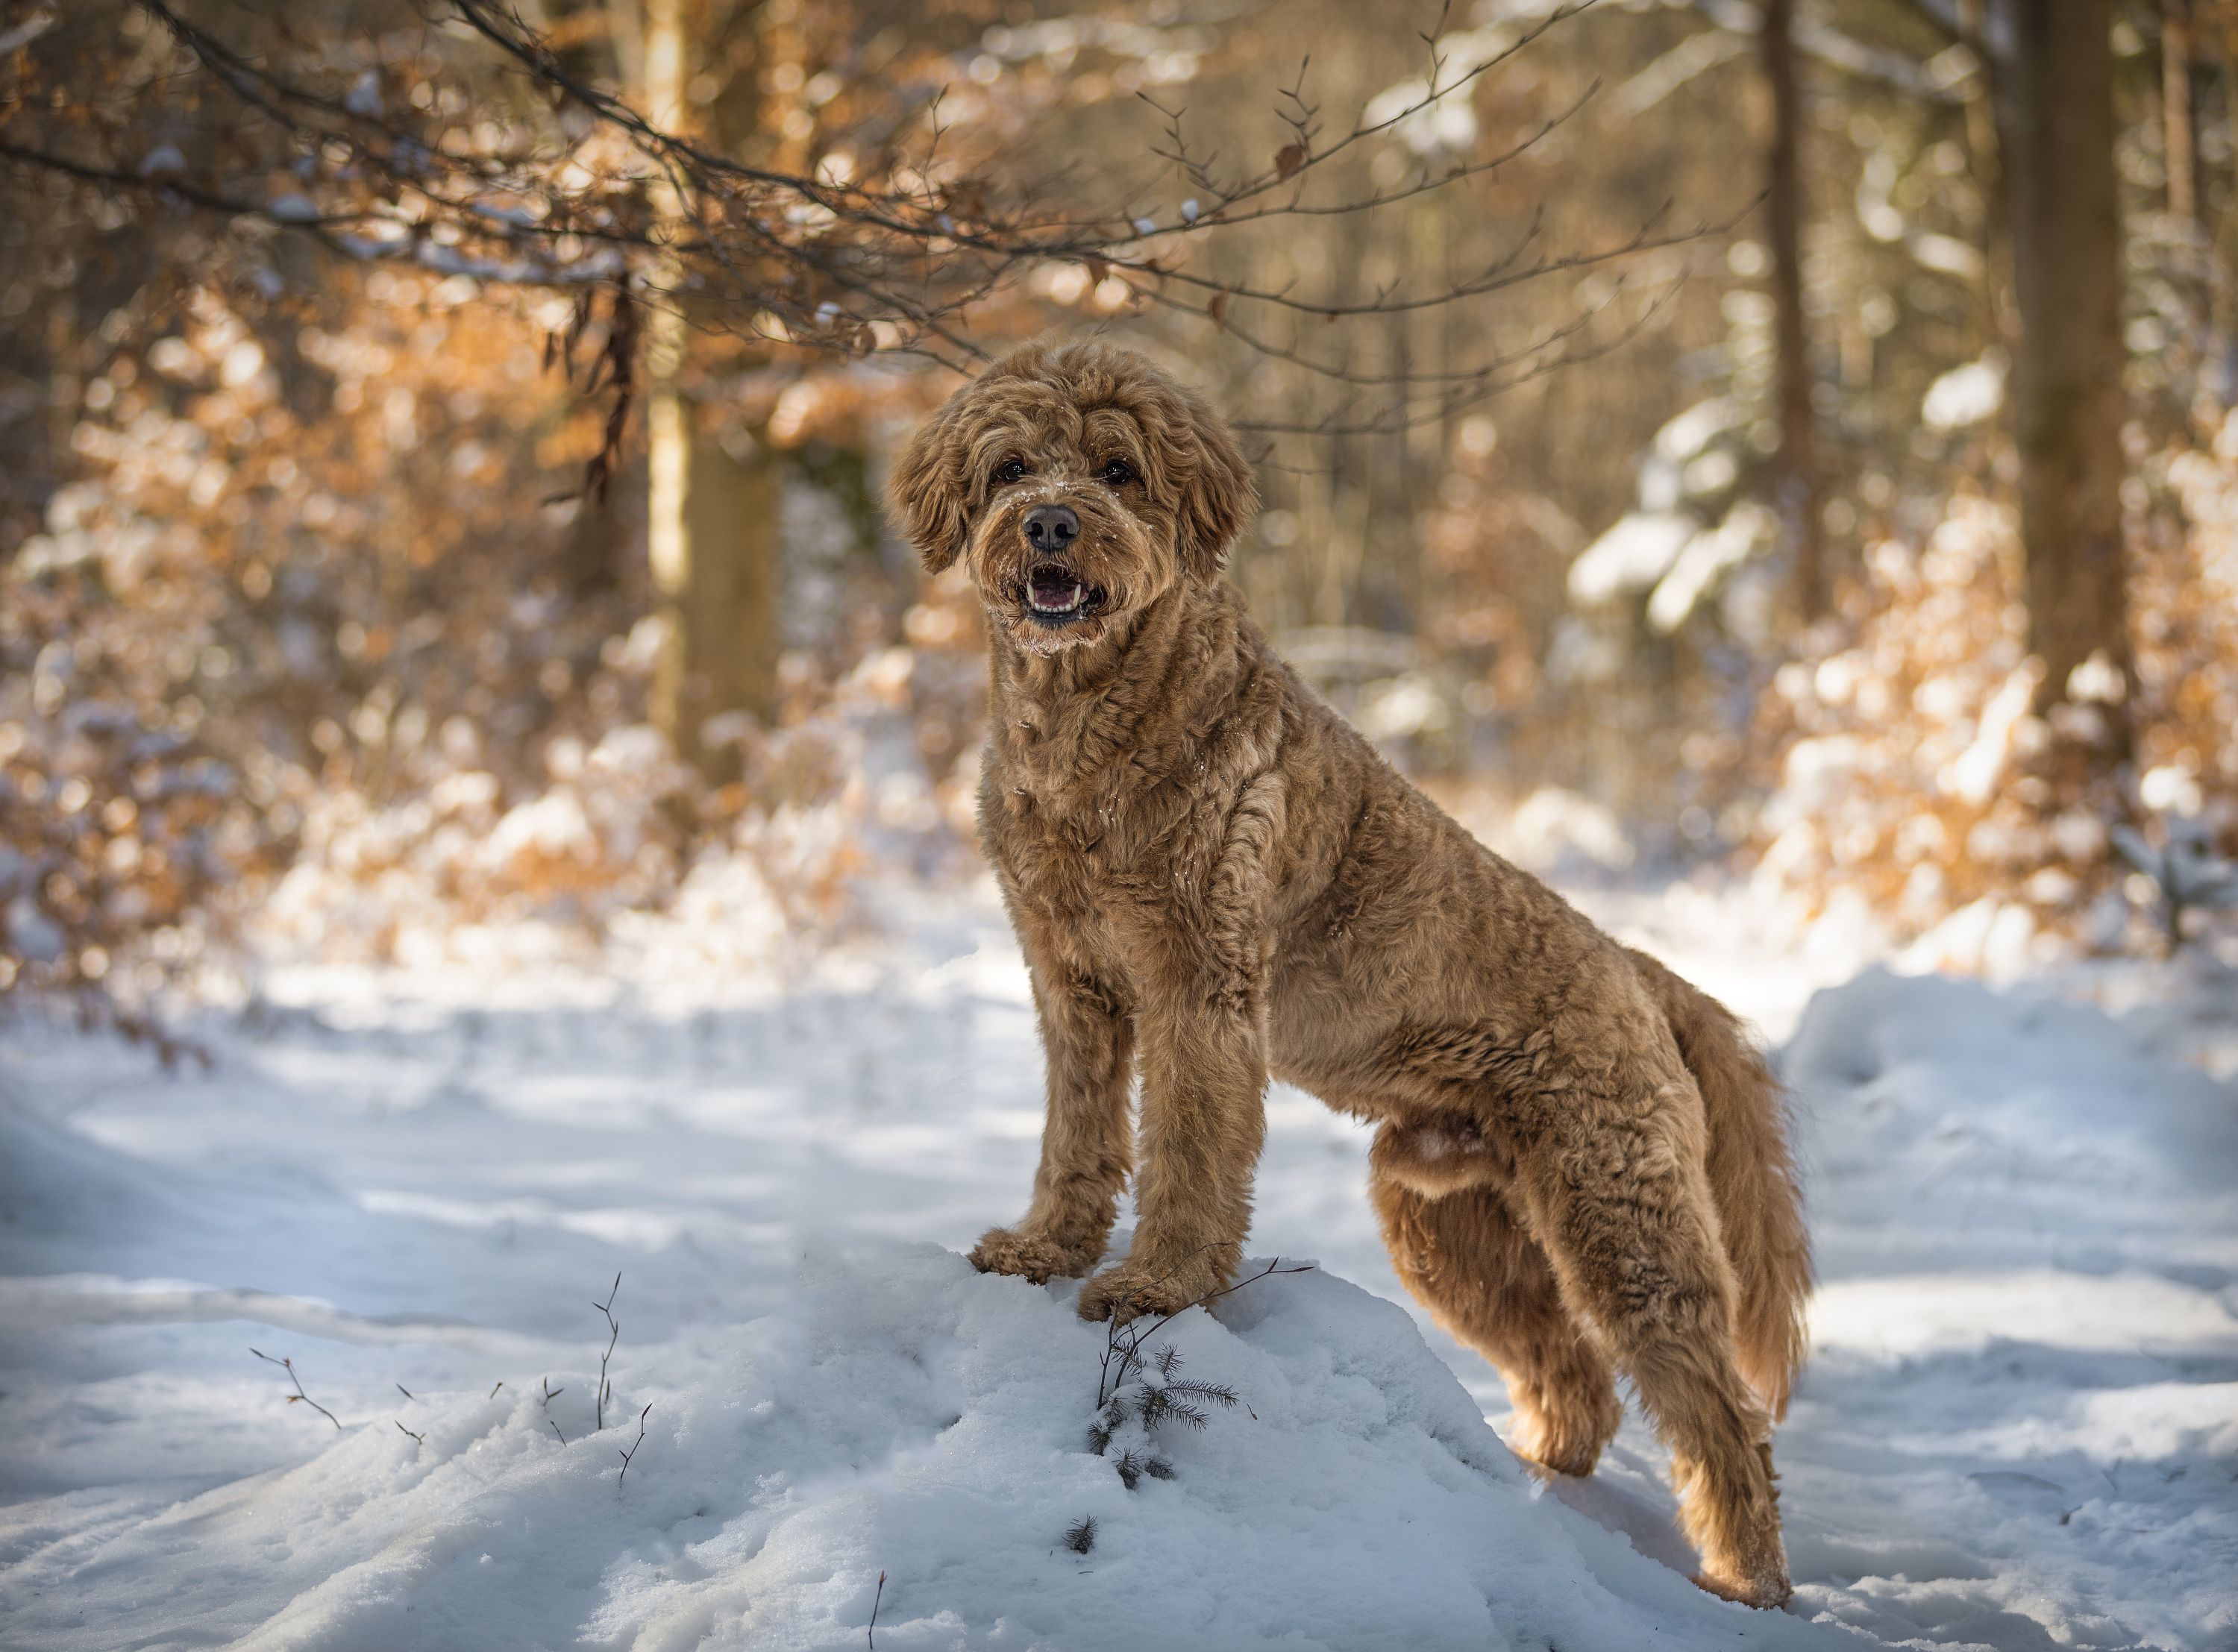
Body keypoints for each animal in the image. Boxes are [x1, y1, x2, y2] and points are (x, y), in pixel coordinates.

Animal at [882, 338, 1808, 1611]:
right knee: (1571, 1369)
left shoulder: (1199, 988)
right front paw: (1045, 1248)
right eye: (1013, 467)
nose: (1054, 524)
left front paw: (1155, 1282)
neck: (1089, 729)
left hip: (1624, 1215)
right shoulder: (1071, 982)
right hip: (1451, 1225)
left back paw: (1743, 1581)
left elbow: (1187, 1153)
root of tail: (1639, 969)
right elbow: (1077, 1137)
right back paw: (1542, 1478)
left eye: (1119, 468)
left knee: (1718, 1408)